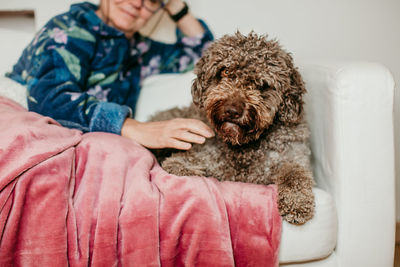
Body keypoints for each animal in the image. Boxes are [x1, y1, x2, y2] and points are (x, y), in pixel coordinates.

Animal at [152, 31, 314, 225]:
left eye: (263, 84)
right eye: (225, 71)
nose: (232, 110)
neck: (243, 146)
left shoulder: (292, 158)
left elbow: (294, 174)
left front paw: (297, 202)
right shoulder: (187, 159)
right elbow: (186, 169)